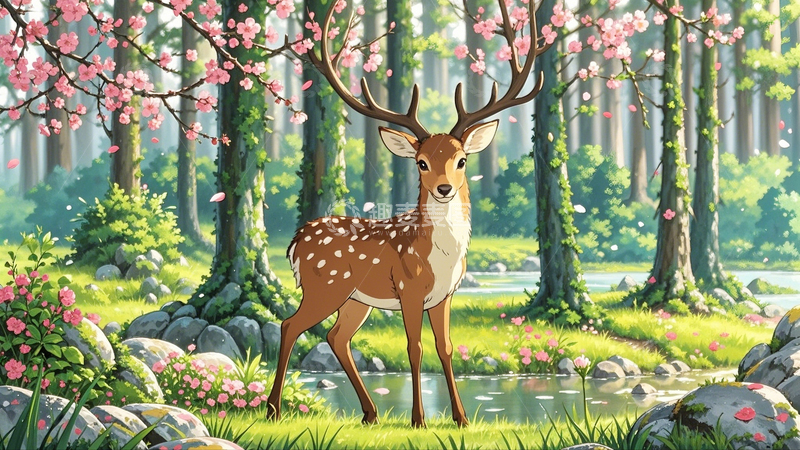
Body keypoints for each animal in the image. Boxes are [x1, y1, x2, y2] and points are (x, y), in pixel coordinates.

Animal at [266, 0, 549, 428]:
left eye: (462, 160)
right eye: (420, 162)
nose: (444, 188)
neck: (439, 257)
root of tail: (295, 243)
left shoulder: (444, 295)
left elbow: (445, 346)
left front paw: (461, 418)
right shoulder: (410, 289)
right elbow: (414, 347)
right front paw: (419, 419)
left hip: (356, 299)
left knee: (336, 337)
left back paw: (370, 414)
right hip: (325, 287)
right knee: (290, 325)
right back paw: (273, 409)